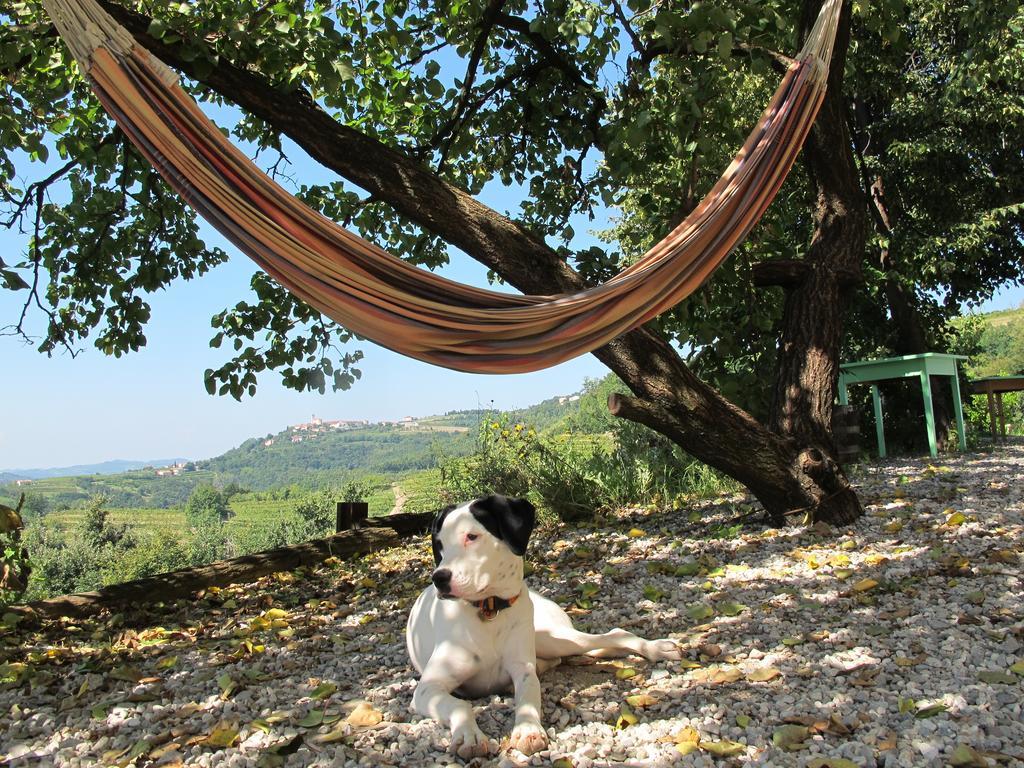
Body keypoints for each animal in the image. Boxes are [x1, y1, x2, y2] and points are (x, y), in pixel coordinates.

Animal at [403, 499, 684, 757]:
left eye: (472, 536)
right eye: (439, 545)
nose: (439, 579)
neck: (490, 611)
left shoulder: (523, 670)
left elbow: (529, 695)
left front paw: (528, 729)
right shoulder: (428, 689)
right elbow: (461, 706)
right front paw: (468, 735)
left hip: (551, 638)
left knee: (611, 636)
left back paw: (657, 648)